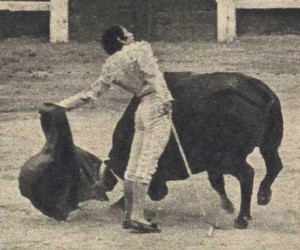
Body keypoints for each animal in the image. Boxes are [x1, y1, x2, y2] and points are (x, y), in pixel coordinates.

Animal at [19, 72, 284, 229]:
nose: (57, 214)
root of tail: (259, 91)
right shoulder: (212, 164)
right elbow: (216, 183)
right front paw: (226, 205)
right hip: (269, 144)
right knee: (274, 165)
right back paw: (262, 197)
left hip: (232, 157)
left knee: (248, 174)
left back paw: (242, 218)